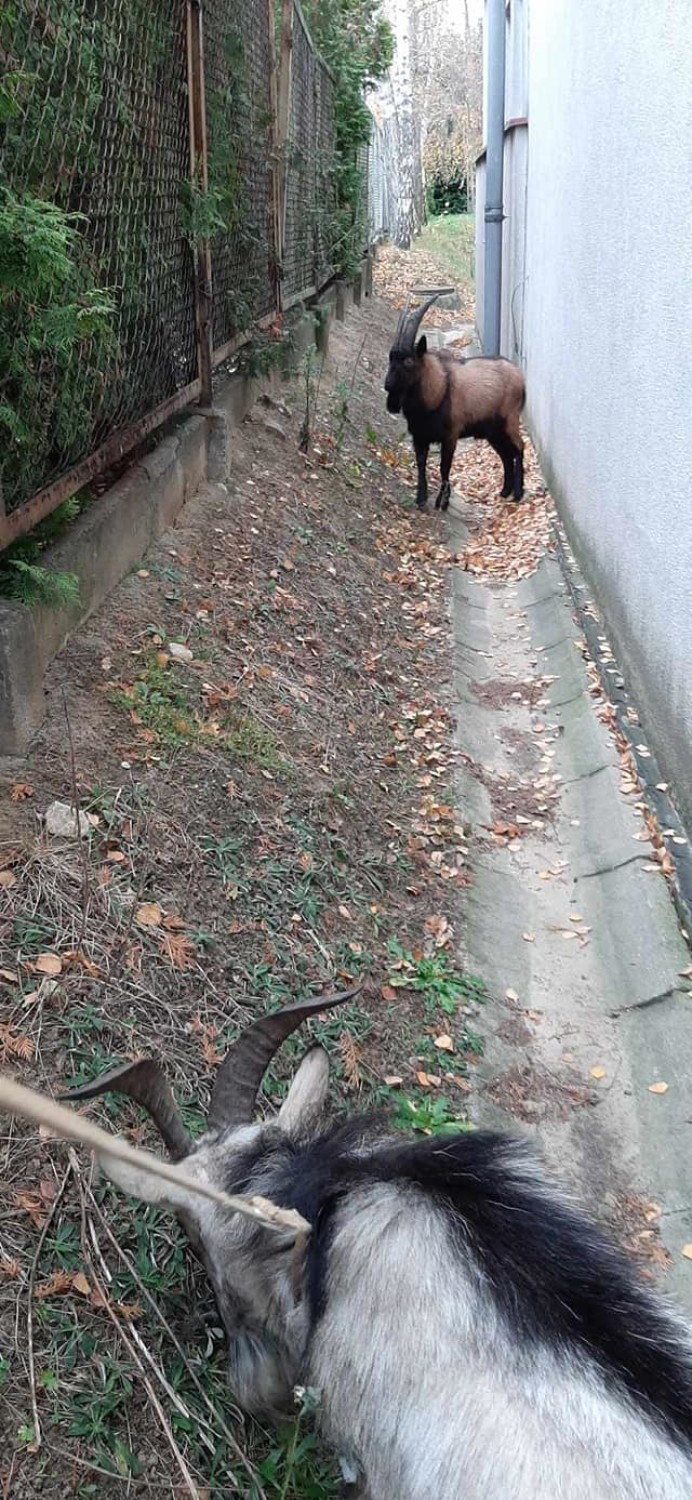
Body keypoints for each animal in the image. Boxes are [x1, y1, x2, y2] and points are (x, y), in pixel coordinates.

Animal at [382, 295, 522, 513]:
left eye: (408, 361)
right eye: (390, 358)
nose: (388, 385)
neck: (439, 390)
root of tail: (521, 378)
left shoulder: (450, 435)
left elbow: (444, 467)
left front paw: (443, 501)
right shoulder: (419, 437)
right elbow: (421, 463)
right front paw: (421, 498)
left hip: (510, 421)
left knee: (519, 449)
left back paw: (518, 493)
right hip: (493, 431)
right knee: (507, 454)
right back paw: (505, 491)